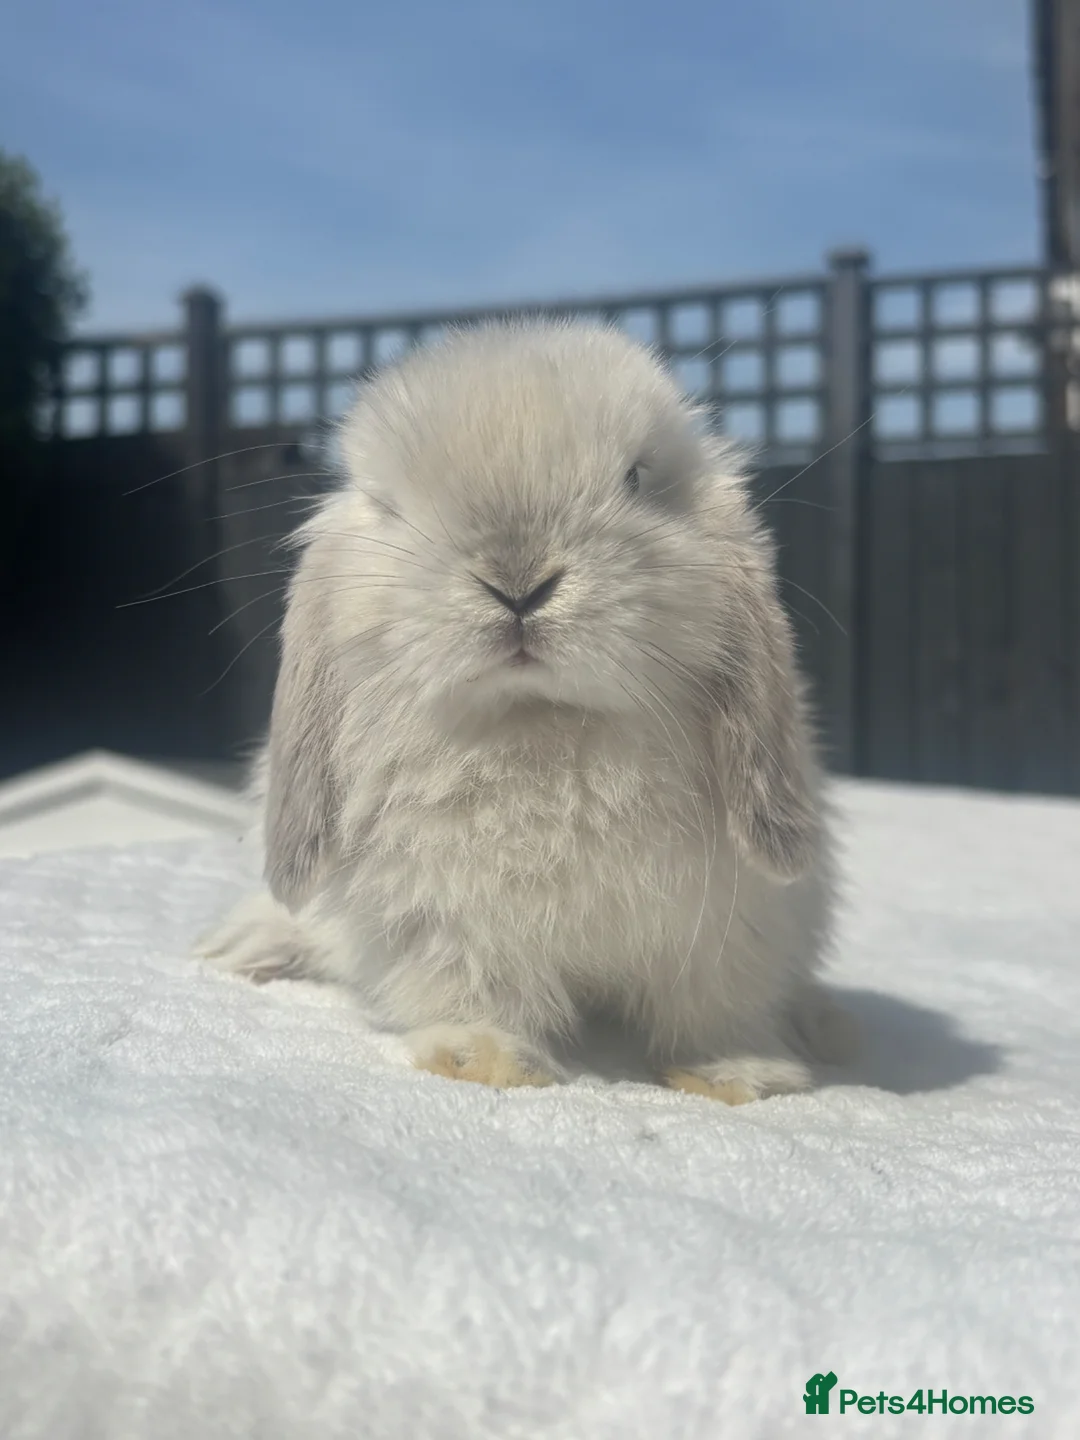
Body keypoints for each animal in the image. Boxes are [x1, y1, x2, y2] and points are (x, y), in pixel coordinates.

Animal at [197, 319, 856, 1103]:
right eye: (391, 507)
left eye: (636, 478)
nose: (517, 583)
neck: (542, 719)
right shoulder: (446, 924)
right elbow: (474, 992)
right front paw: (483, 1059)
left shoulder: (733, 928)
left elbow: (718, 1009)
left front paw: (736, 1075)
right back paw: (245, 946)